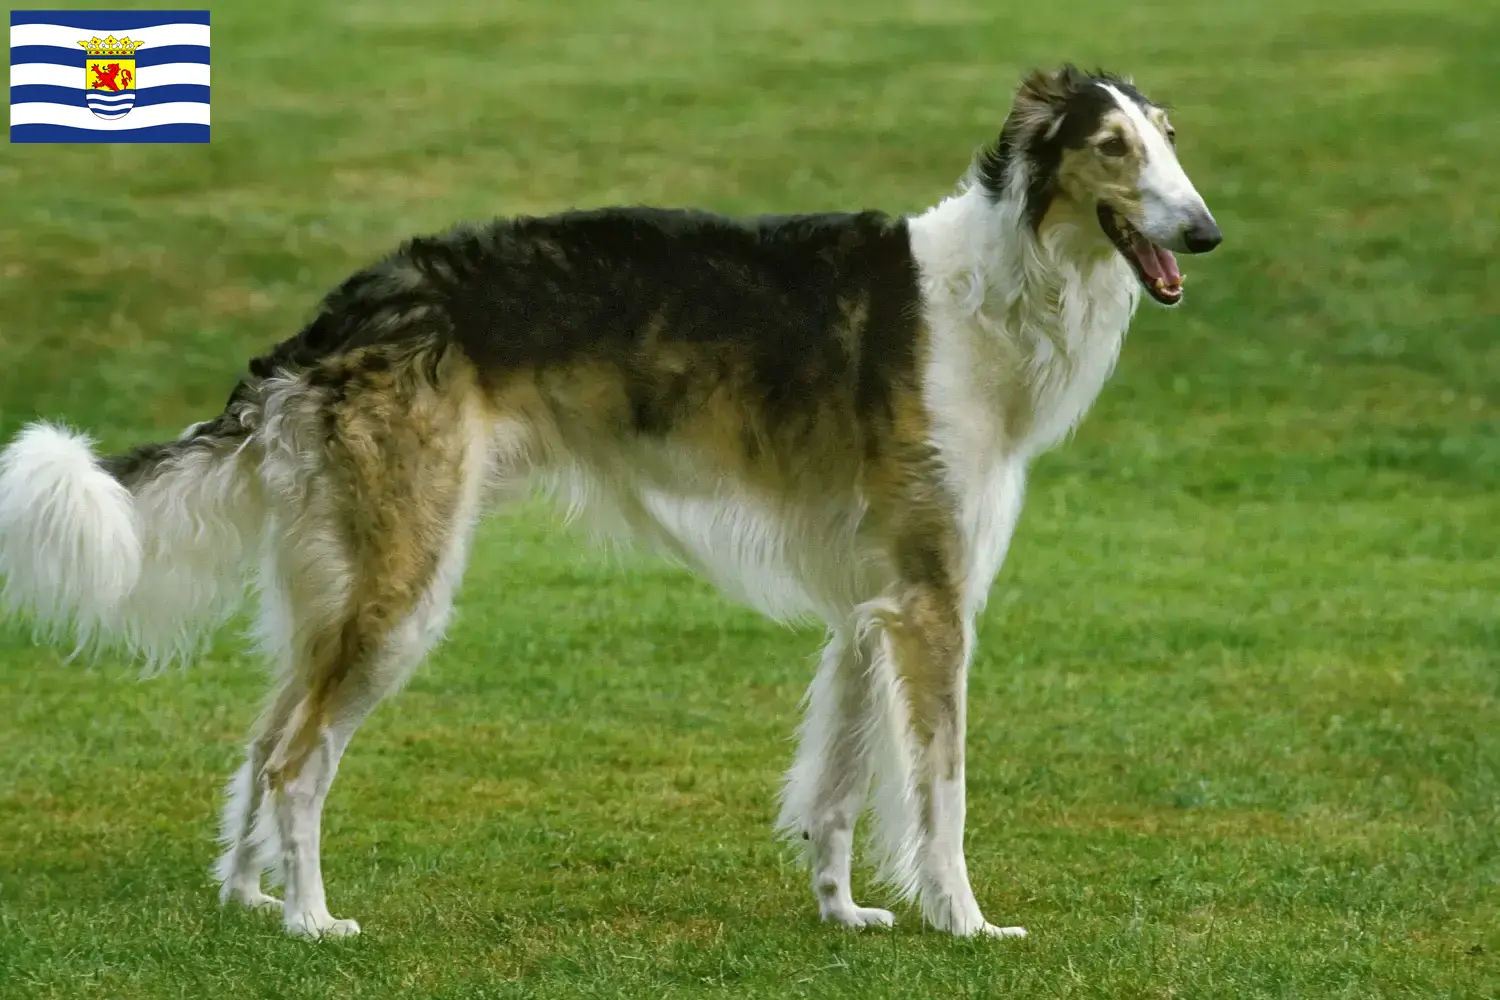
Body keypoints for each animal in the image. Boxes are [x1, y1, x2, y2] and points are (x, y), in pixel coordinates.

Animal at [0, 64, 1218, 941]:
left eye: (1170, 135)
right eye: (1112, 146)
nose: (1205, 231)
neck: (989, 294)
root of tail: (335, 316)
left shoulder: (868, 605)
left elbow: (836, 782)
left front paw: (844, 910)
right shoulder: (932, 599)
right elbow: (942, 790)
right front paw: (964, 922)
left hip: (339, 581)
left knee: (262, 743)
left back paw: (248, 899)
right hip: (405, 582)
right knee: (299, 761)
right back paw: (310, 921)